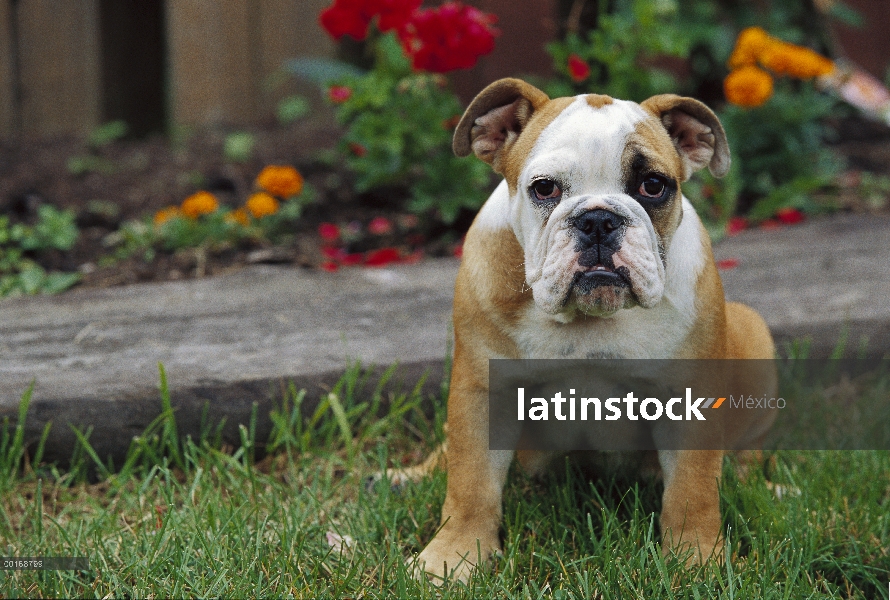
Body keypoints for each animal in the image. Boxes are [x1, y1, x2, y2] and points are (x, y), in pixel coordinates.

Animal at [390, 78, 776, 580]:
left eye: (654, 185)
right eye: (544, 188)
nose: (597, 219)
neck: (589, 318)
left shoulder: (692, 395)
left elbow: (692, 489)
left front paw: (697, 561)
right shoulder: (482, 390)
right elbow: (471, 481)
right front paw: (452, 556)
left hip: (754, 337)